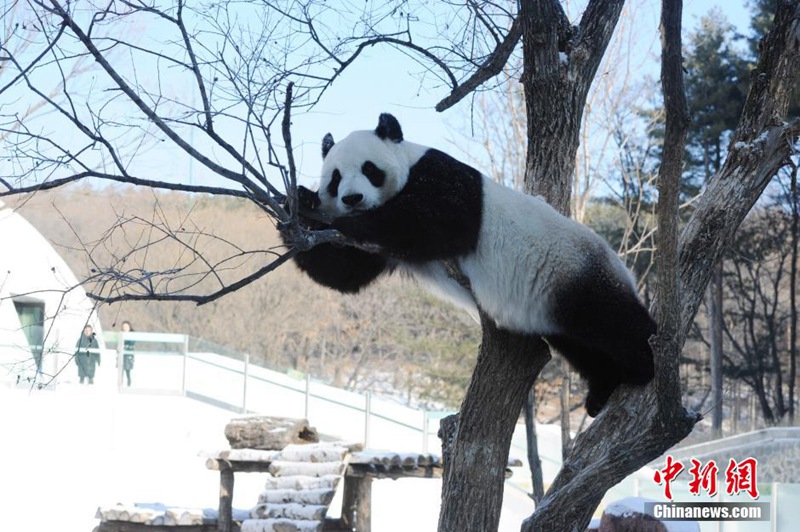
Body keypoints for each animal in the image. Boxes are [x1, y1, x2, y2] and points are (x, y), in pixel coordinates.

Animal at [288, 114, 656, 418]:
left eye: (369, 169)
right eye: (335, 178)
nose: (352, 199)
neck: (409, 163)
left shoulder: (444, 180)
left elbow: (431, 223)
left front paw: (350, 220)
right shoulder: (377, 253)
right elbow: (343, 272)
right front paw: (300, 202)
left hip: (577, 270)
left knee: (614, 321)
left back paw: (645, 363)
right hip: (555, 307)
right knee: (585, 347)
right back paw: (602, 391)